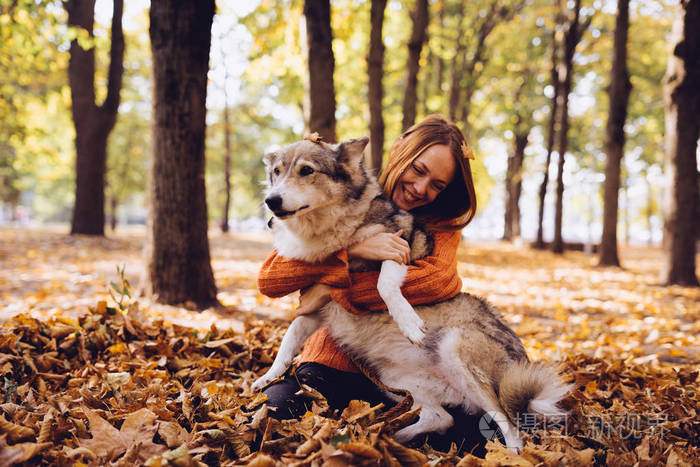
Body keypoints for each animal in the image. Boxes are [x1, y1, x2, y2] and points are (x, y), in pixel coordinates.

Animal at [252, 135, 568, 450]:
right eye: (277, 172)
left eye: (306, 170)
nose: (271, 201)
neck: (331, 232)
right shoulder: (317, 307)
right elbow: (288, 340)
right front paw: (267, 377)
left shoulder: (396, 247)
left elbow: (384, 284)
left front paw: (409, 323)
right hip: (394, 379)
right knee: (440, 418)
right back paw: (387, 436)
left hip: (455, 348)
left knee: (510, 425)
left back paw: (511, 452)